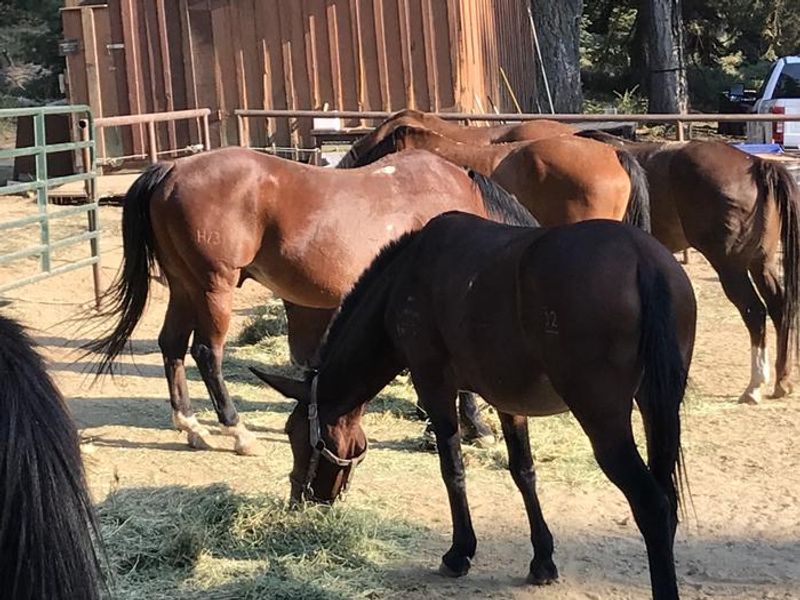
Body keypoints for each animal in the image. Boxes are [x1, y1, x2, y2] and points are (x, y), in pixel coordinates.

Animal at [85, 147, 534, 455]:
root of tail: (173, 171)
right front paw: (478, 429)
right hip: (214, 288)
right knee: (206, 354)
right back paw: (238, 431)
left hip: (184, 287)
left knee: (172, 346)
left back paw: (192, 427)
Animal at [251, 209, 695, 600]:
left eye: (296, 437)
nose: (300, 498)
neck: (405, 277)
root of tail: (641, 258)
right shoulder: (508, 400)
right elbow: (523, 472)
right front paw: (542, 559)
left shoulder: (434, 385)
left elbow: (452, 468)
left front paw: (459, 552)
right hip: (657, 410)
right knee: (667, 499)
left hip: (604, 422)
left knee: (653, 505)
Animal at [579, 130, 800, 404]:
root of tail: (756, 164)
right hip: (762, 263)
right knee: (779, 308)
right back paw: (782, 381)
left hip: (730, 267)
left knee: (755, 311)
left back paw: (754, 386)